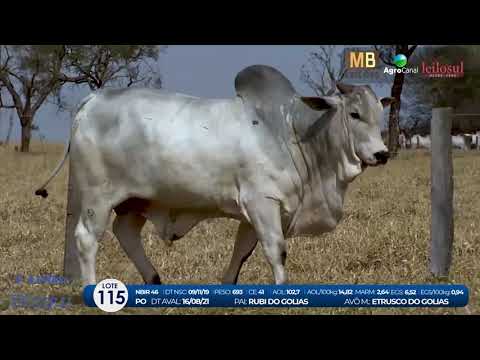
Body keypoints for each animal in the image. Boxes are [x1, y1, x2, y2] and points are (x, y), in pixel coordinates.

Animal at [34, 64, 394, 284]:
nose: (382, 154)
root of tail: (94, 97)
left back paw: (154, 280)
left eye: (379, 113)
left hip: (136, 200)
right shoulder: (262, 201)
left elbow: (242, 252)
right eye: (354, 114)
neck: (291, 129)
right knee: (86, 238)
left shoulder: (255, 212)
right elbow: (276, 250)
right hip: (98, 197)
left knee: (126, 233)